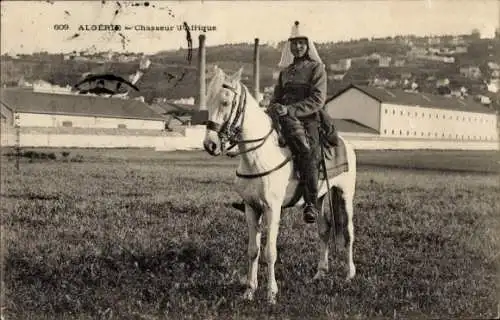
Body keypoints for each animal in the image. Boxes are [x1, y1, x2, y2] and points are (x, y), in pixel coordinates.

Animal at [201, 66, 358, 304]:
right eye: (208, 101)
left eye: (226, 102)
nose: (210, 145)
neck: (258, 156)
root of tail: (346, 143)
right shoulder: (251, 208)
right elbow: (253, 250)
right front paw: (249, 291)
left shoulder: (272, 209)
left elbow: (270, 252)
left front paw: (271, 294)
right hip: (320, 198)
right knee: (324, 230)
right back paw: (320, 273)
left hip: (345, 195)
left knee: (348, 232)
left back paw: (349, 274)